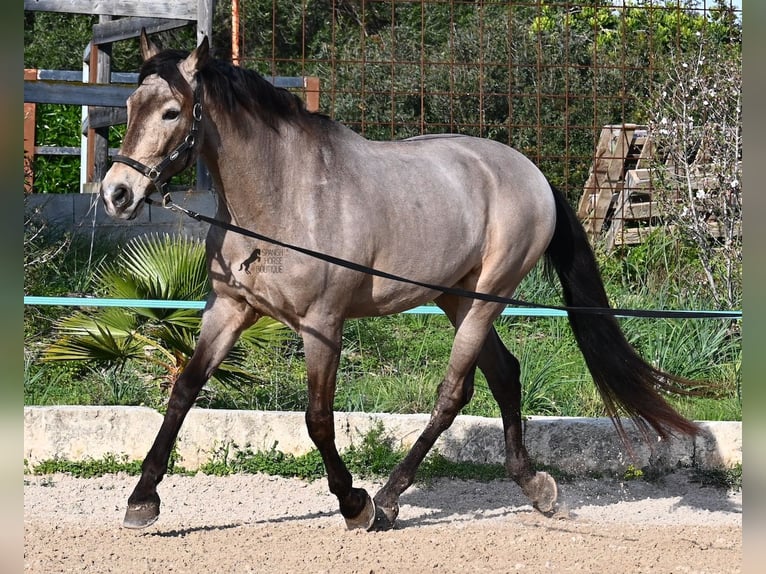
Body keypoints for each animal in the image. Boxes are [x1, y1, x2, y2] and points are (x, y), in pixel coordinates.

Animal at [99, 32, 704, 536]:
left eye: (172, 111)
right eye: (129, 107)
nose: (117, 194)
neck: (286, 197)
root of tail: (531, 174)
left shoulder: (323, 326)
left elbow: (318, 419)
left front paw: (353, 504)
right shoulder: (227, 309)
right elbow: (183, 391)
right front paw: (142, 501)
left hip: (487, 299)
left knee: (454, 393)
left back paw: (389, 500)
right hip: (459, 297)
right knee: (506, 375)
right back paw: (535, 489)